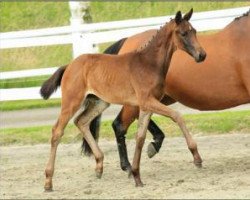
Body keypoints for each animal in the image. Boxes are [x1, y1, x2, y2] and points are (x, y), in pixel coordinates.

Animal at [40, 9, 205, 190]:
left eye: (194, 31)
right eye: (183, 33)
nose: (202, 55)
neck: (149, 64)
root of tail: (69, 65)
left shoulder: (146, 106)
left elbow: (140, 138)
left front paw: (137, 176)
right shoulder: (148, 101)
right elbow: (177, 116)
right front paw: (196, 157)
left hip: (100, 101)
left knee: (81, 121)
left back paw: (99, 165)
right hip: (72, 102)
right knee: (57, 131)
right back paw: (48, 181)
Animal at [84, 9, 250, 173]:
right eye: (183, 33)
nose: (201, 55)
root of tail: (127, 41)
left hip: (156, 98)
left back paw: (152, 146)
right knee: (119, 125)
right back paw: (129, 166)